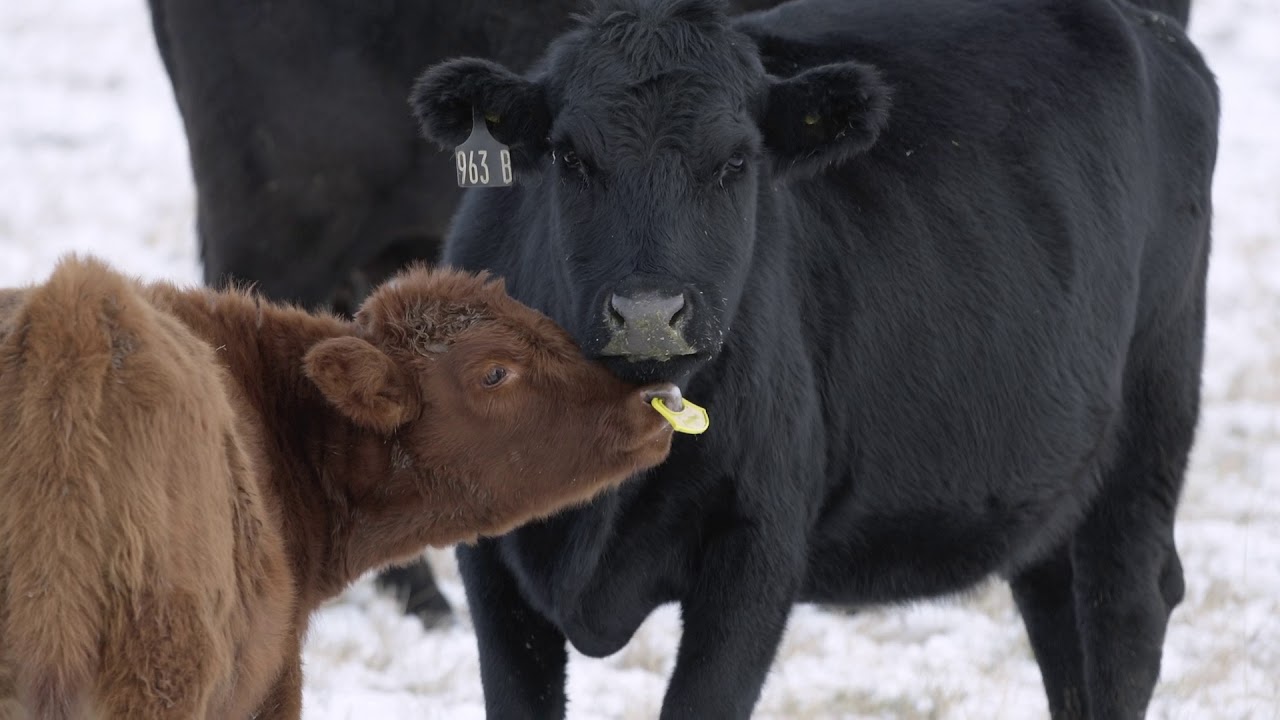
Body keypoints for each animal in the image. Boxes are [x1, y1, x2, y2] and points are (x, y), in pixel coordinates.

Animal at [409, 0, 1220, 717]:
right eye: (570, 157)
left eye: (736, 161)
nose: (648, 315)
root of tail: (1149, 29)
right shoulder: (491, 564)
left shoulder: (758, 548)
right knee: (1056, 608)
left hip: (1152, 412)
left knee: (1127, 609)